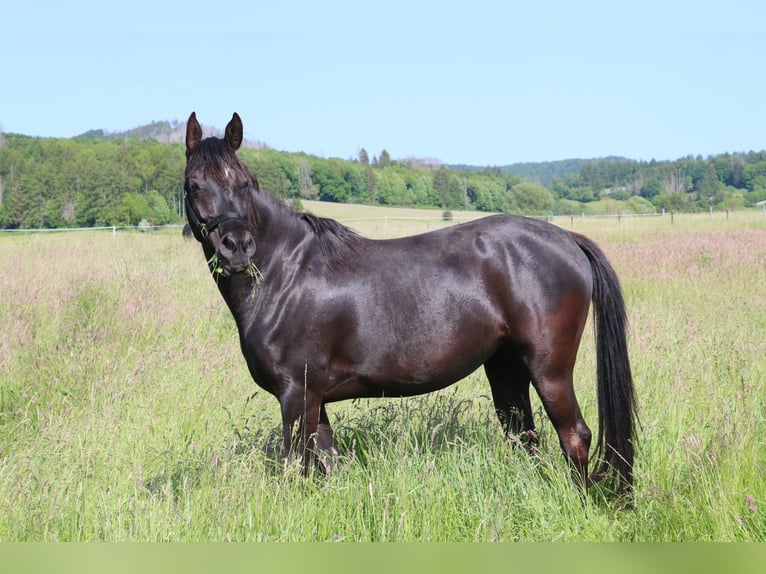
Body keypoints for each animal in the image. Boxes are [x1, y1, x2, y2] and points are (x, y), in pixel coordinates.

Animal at [183, 112, 638, 497]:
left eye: (245, 183)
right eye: (194, 185)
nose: (237, 247)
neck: (285, 271)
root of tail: (566, 238)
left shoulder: (296, 396)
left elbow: (299, 466)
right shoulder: (315, 400)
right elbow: (327, 464)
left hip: (549, 369)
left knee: (574, 435)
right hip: (506, 367)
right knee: (523, 435)